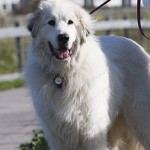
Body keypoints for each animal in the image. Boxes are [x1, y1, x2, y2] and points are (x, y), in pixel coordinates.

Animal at [24, 0, 150, 149]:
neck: (63, 74)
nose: (64, 37)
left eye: (70, 22)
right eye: (51, 22)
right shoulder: (56, 135)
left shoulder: (92, 129)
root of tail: (137, 46)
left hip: (140, 118)